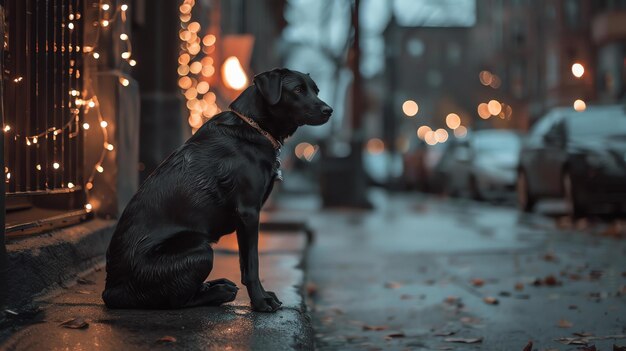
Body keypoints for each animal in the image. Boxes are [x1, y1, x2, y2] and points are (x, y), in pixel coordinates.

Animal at [103, 68, 332, 310]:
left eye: (316, 90)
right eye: (298, 89)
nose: (329, 110)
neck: (254, 127)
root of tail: (111, 290)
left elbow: (244, 262)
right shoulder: (249, 212)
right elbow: (252, 263)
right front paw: (260, 301)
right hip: (201, 250)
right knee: (178, 300)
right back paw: (219, 292)